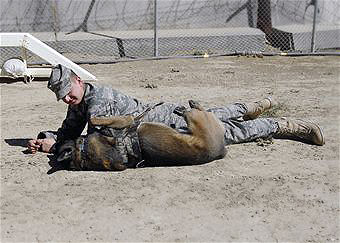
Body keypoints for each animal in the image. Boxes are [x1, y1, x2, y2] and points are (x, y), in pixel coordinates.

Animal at [55, 100, 226, 171]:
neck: (82, 152)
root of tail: (220, 150)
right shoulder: (128, 120)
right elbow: (95, 119)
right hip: (196, 119)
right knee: (197, 111)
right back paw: (187, 106)